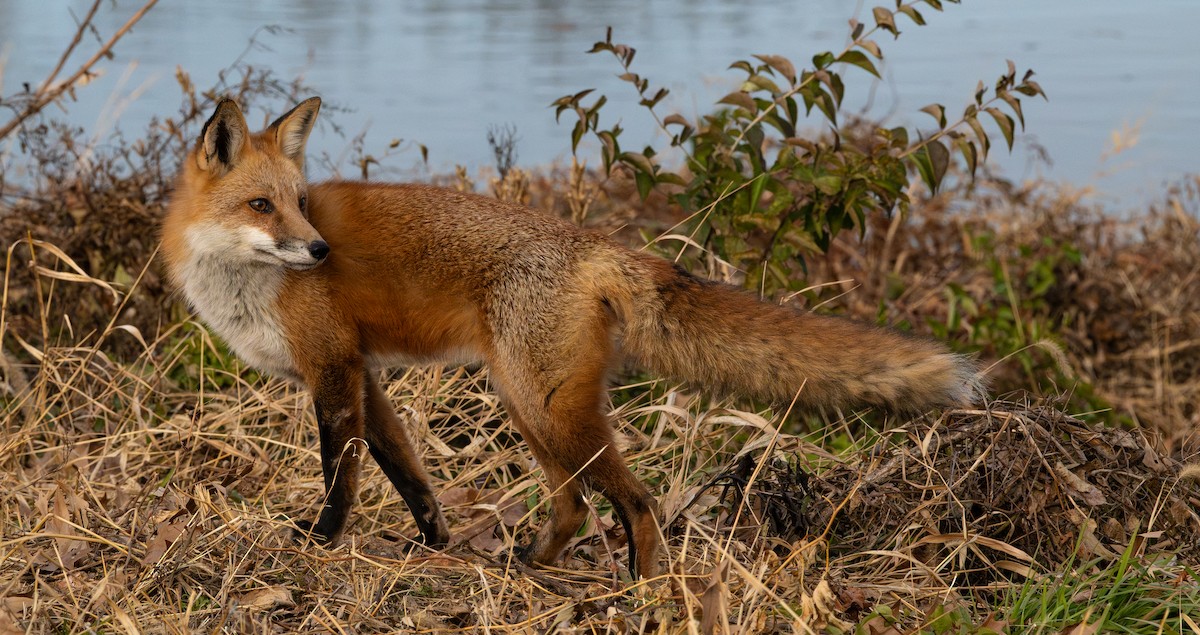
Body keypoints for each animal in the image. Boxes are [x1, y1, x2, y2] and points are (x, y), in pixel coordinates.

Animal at [161, 97, 983, 580]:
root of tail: (597, 244)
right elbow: (409, 475)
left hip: (547, 409)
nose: (319, 251)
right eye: (262, 205)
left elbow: (342, 475)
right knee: (577, 507)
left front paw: (319, 543)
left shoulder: (332, 368)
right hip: (530, 405)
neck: (240, 284)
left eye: (301, 203)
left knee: (638, 498)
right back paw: (529, 565)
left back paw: (647, 587)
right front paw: (434, 547)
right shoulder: (362, 373)